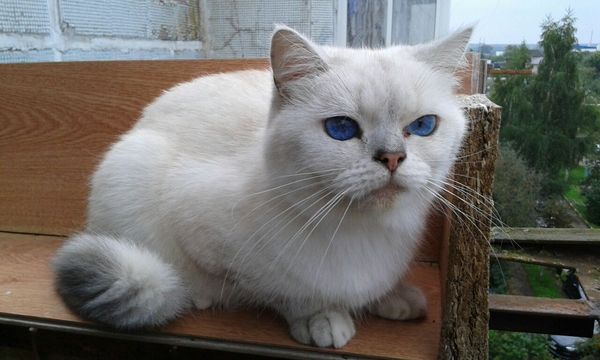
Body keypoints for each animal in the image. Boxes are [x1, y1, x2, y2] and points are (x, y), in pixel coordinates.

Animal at [54, 25, 472, 348]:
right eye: (341, 129)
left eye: (423, 126)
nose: (392, 158)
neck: (363, 231)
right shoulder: (211, 241)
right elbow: (285, 293)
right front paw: (321, 319)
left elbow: (377, 288)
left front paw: (393, 298)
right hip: (132, 171)